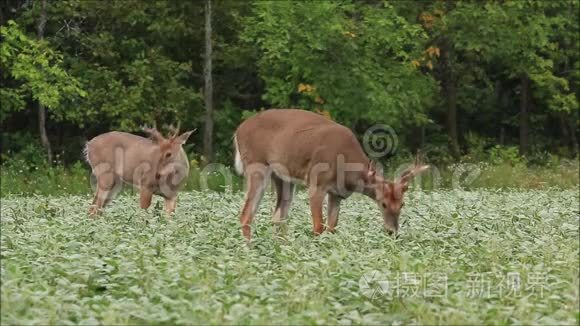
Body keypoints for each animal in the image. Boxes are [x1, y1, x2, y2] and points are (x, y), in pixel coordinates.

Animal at [233, 109, 428, 239]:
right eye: (383, 203)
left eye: (402, 204)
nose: (392, 232)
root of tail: (238, 131)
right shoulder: (316, 184)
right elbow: (318, 227)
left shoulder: (337, 194)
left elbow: (332, 228)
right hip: (257, 165)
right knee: (246, 215)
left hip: (283, 177)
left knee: (277, 218)